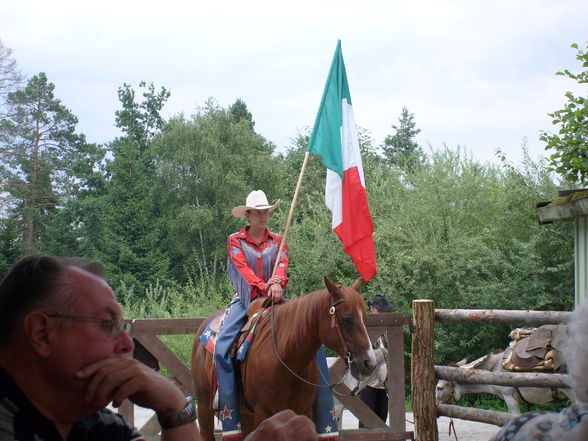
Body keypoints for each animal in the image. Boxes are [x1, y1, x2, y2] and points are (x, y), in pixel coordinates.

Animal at [193, 276, 376, 438]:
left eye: (365, 318)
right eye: (346, 318)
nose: (369, 363)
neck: (287, 358)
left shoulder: (303, 411)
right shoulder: (263, 413)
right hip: (204, 406)